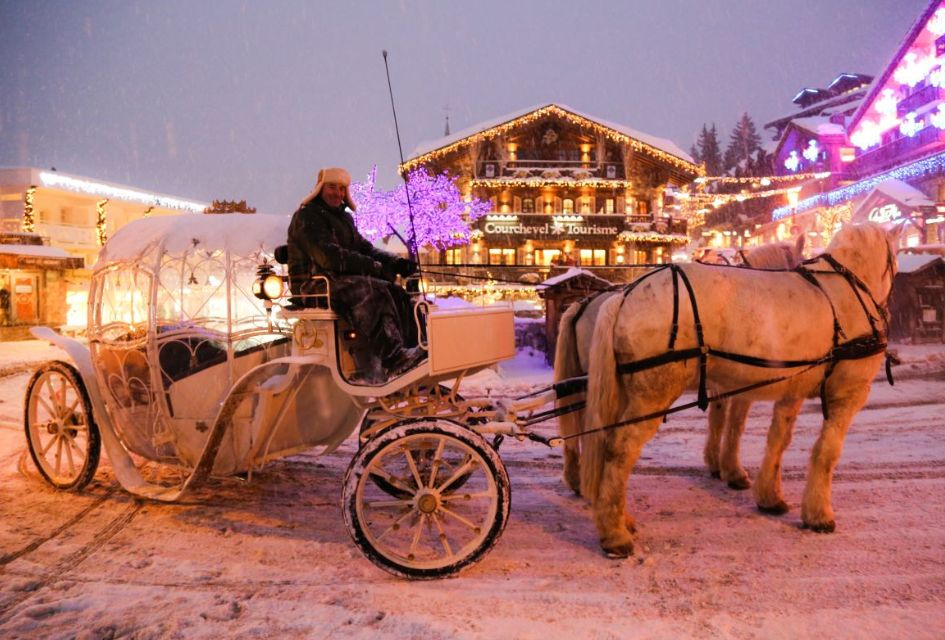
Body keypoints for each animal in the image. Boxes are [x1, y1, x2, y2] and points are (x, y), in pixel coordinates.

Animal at [552, 238, 804, 492]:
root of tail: (582, 305)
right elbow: (736, 423)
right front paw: (734, 472)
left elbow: (717, 419)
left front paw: (715, 463)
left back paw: (575, 476)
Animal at [580, 222, 896, 556]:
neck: (848, 291)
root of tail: (626, 294)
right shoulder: (847, 395)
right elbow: (826, 452)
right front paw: (819, 514)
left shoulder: (790, 392)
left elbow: (777, 441)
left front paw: (768, 495)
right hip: (652, 395)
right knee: (620, 450)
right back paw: (614, 533)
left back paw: (620, 516)